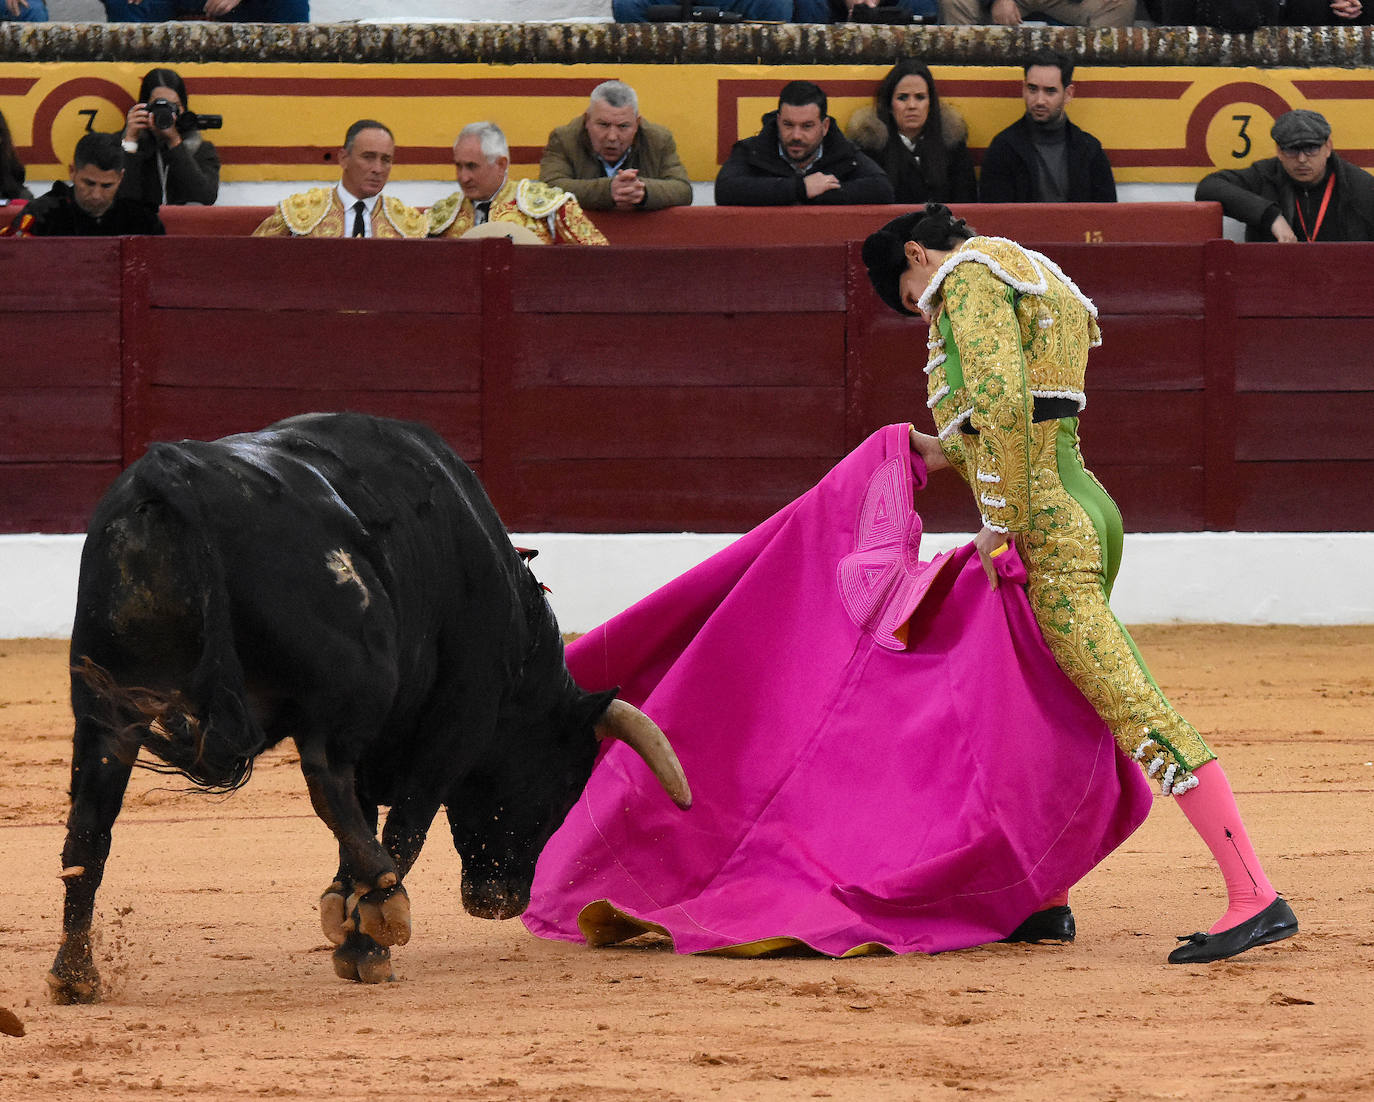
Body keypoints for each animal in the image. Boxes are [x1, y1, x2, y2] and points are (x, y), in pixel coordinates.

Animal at [49, 409, 692, 994]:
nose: (502, 901)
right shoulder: (459, 720)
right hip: (346, 693)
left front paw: (347, 914)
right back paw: (385, 897)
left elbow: (365, 818)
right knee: (327, 780)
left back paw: (74, 974)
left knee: (90, 827)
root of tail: (170, 475)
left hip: (105, 707)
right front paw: (364, 939)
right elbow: (405, 823)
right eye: (565, 787)